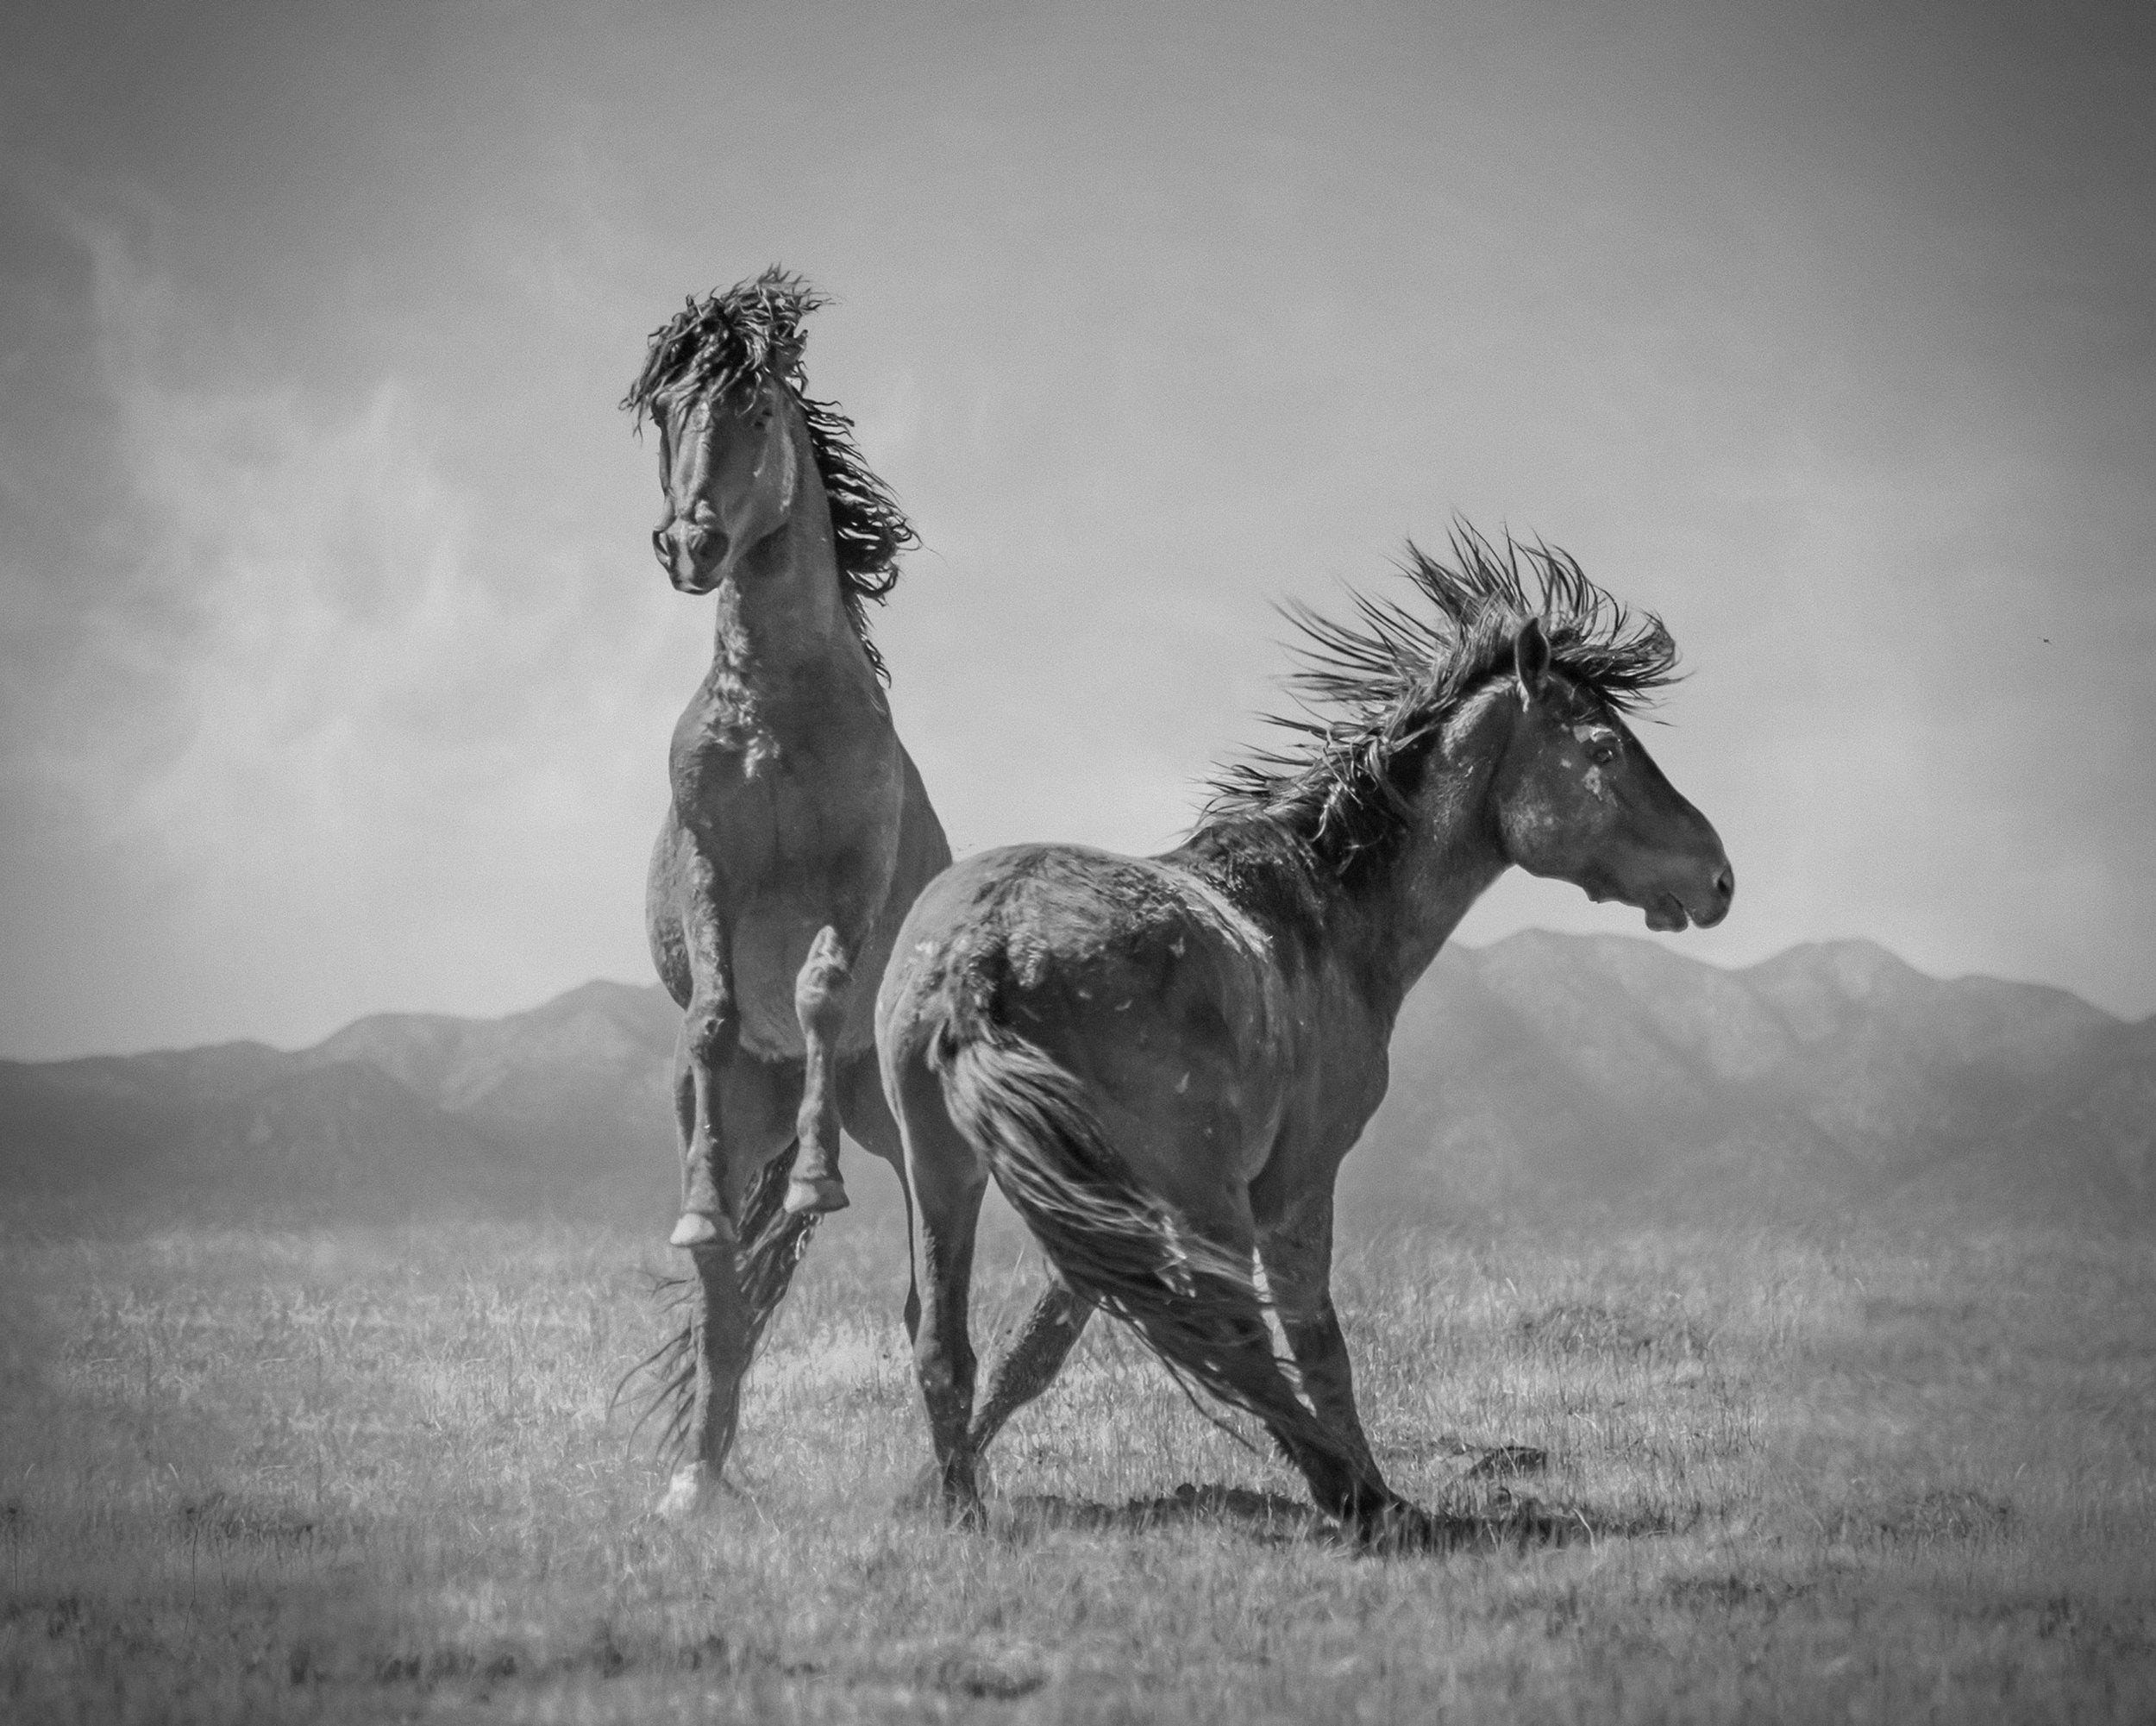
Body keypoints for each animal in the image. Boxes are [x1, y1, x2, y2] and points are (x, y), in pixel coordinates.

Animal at [625, 270, 950, 1516]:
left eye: (756, 406)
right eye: (666, 413)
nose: (690, 543)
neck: (775, 702)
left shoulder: (855, 873)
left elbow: (815, 989)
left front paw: (815, 1187)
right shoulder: (712, 871)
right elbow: (720, 1011)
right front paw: (706, 1205)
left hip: (898, 1125)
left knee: (923, 1292)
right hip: (720, 1118)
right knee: (724, 1307)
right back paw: (696, 1482)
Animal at [875, 530, 1733, 1547]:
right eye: (1603, 747)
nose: (1718, 877)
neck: (1327, 908)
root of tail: (987, 945)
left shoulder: (1106, 1201)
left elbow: (1040, 1341)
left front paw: (943, 1485)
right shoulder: (1289, 1185)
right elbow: (1317, 1342)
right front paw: (1373, 1493)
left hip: (949, 1175)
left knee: (945, 1340)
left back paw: (963, 1500)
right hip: (1191, 1192)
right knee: (1234, 1331)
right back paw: (1344, 1491)